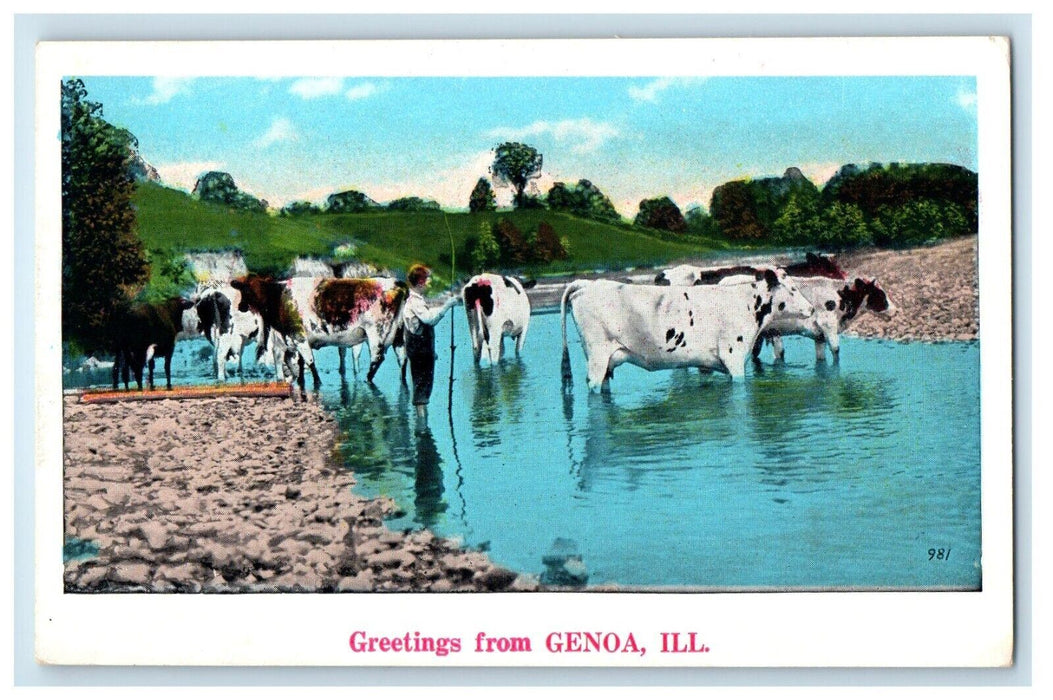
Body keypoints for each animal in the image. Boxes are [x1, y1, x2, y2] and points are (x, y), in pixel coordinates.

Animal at [230, 273, 406, 387]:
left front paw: (317, 382)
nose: (240, 306)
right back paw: (402, 381)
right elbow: (301, 362)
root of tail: (397, 284)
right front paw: (301, 380)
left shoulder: (299, 336)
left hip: (376, 333)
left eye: (246, 291)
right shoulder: (299, 337)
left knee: (377, 359)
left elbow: (310, 362)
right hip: (398, 334)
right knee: (402, 360)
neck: (279, 297)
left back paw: (368, 379)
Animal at [560, 267, 812, 389]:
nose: (811, 309)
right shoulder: (734, 358)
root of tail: (586, 283)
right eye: (792, 289)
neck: (746, 302)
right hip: (597, 357)